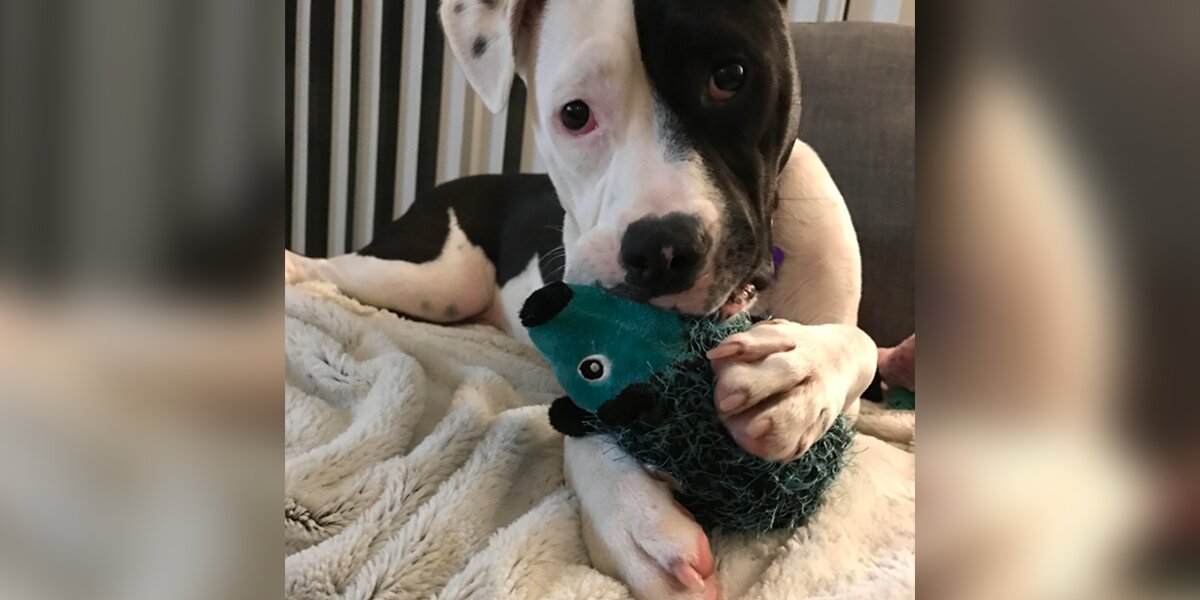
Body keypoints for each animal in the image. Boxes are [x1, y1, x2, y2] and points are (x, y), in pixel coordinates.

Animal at [285, 2, 878, 597]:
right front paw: (635, 519)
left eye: (730, 75)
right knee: (332, 269)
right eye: (574, 114)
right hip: (436, 282)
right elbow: (584, 423)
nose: (659, 249)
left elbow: (863, 344)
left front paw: (800, 370)